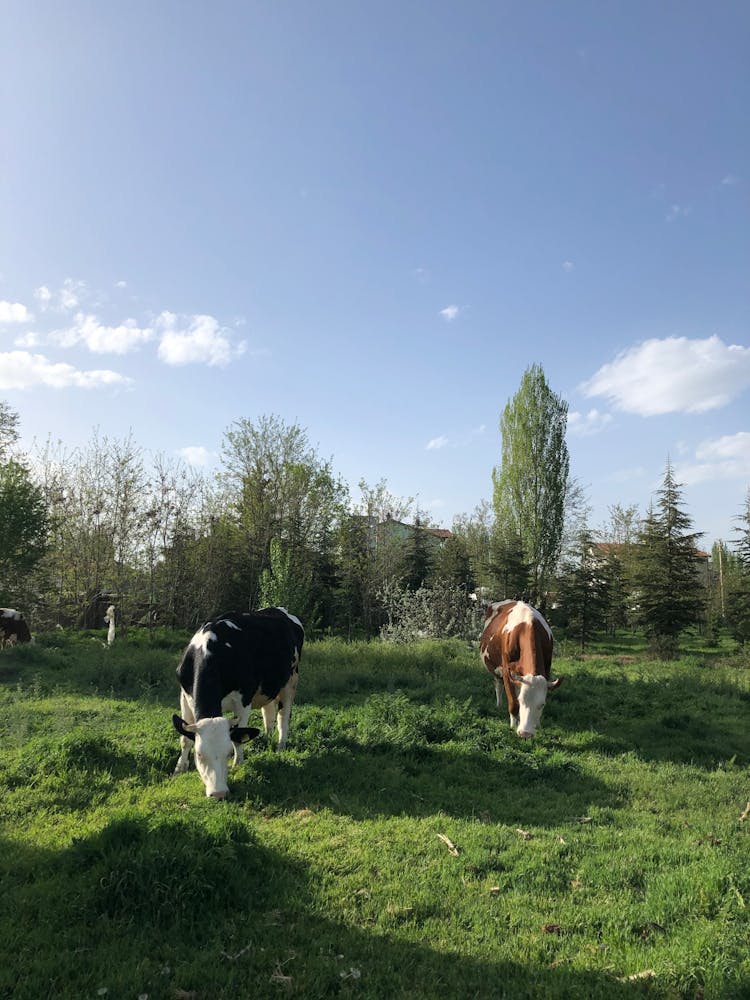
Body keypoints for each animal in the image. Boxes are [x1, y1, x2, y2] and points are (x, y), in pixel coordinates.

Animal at [173, 604, 306, 800]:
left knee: (283, 718)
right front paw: (180, 767)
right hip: (267, 688)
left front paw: (238, 763)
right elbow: (185, 739)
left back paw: (280, 746)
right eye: (199, 755)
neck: (211, 650)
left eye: (228, 753)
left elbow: (238, 738)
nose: (219, 793)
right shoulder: (184, 696)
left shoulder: (244, 701)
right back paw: (267, 738)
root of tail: (280, 609)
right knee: (269, 714)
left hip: (291, 682)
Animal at [482, 596, 564, 740]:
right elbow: (512, 701)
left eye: (542, 704)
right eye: (521, 701)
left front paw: (536, 724)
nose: (525, 733)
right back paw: (499, 705)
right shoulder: (506, 671)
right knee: (498, 685)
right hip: (496, 669)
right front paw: (513, 724)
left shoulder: (546, 670)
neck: (527, 627)